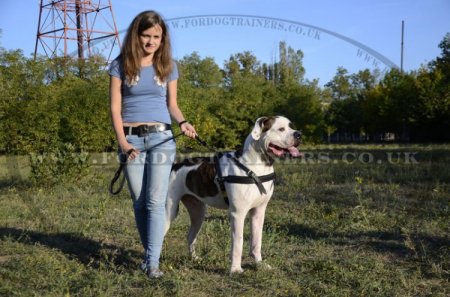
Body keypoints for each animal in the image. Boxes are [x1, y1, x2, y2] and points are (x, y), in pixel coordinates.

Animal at [163, 115, 300, 272]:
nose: (298, 134)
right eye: (281, 129)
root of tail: (175, 166)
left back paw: (195, 259)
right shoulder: (238, 213)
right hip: (168, 211)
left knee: (191, 235)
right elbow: (238, 242)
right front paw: (235, 269)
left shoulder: (259, 212)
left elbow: (257, 239)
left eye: (291, 126)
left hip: (198, 212)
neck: (256, 166)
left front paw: (259, 263)